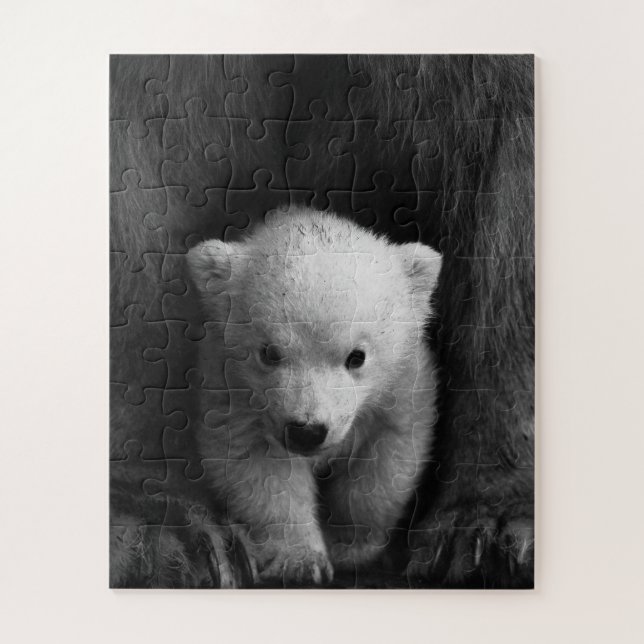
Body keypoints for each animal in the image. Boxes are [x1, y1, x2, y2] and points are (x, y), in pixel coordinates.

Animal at [186, 209, 442, 585]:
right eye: (269, 352)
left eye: (357, 357)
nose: (306, 431)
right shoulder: (233, 390)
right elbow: (261, 470)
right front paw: (301, 560)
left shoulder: (402, 388)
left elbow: (384, 463)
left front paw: (349, 544)